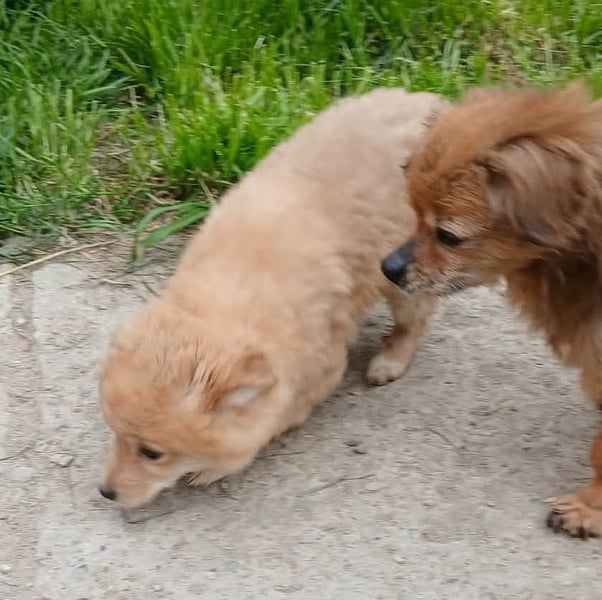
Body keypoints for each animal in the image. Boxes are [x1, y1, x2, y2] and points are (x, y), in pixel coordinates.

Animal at [98, 87, 446, 508]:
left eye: (152, 453)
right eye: (113, 432)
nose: (106, 492)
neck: (226, 297)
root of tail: (435, 104)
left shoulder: (318, 371)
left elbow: (269, 423)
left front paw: (212, 468)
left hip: (402, 272)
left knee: (414, 320)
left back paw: (389, 362)